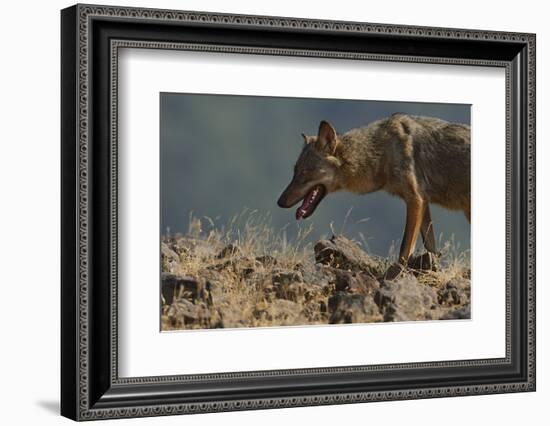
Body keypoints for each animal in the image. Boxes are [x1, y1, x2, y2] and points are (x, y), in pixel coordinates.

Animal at [278, 114, 472, 280]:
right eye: (295, 171)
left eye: (305, 172)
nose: (279, 202)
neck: (382, 151)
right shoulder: (423, 203)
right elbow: (431, 247)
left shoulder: (415, 200)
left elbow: (405, 249)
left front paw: (394, 276)